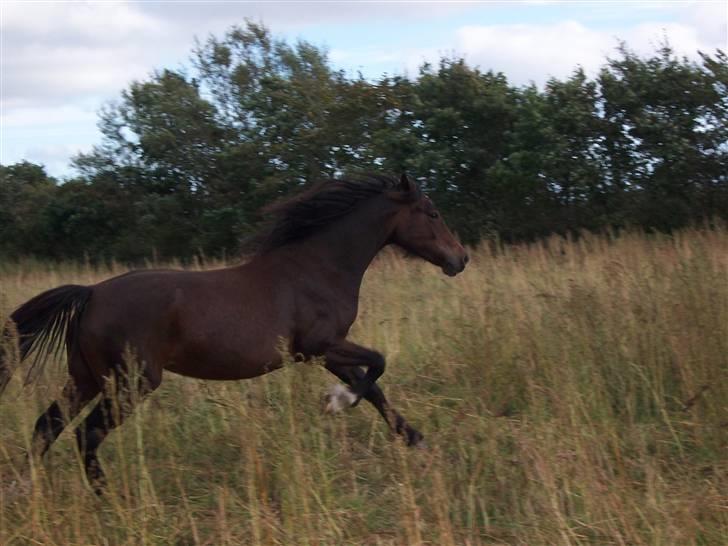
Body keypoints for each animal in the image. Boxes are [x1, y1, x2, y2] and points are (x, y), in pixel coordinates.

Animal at [0, 172, 470, 490]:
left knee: (47, 426)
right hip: (130, 382)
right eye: (433, 212)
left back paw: (26, 489)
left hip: (86, 378)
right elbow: (377, 365)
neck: (319, 268)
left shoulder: (324, 353)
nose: (460, 259)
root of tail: (92, 293)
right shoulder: (321, 345)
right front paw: (338, 402)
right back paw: (109, 499)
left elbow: (375, 390)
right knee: (86, 434)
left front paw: (417, 442)